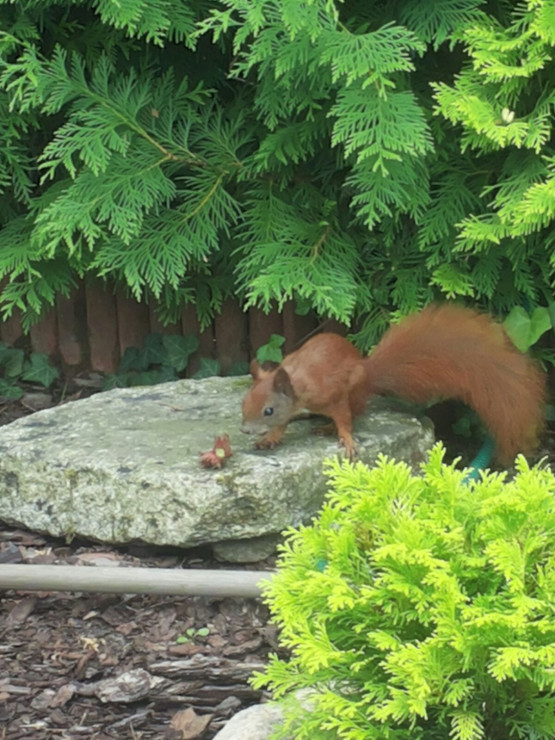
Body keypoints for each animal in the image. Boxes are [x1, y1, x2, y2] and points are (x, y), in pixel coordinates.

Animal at [242, 302, 548, 462]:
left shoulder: (332, 394)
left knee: (357, 409)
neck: (297, 382)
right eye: (244, 403)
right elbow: (281, 426)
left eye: (267, 409)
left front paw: (347, 439)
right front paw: (269, 439)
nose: (244, 430)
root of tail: (368, 371)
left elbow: (344, 418)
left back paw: (329, 427)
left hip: (356, 388)